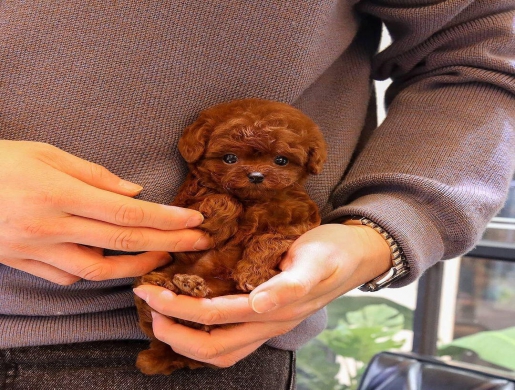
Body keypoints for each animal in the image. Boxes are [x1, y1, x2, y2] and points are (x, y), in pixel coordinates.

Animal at [133, 97, 326, 374]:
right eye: (229, 158)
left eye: (281, 160)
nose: (256, 176)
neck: (251, 200)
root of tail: (174, 355)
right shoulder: (186, 206)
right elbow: (222, 199)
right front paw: (224, 218)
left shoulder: (298, 221)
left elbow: (270, 240)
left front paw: (252, 274)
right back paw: (165, 282)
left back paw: (187, 287)